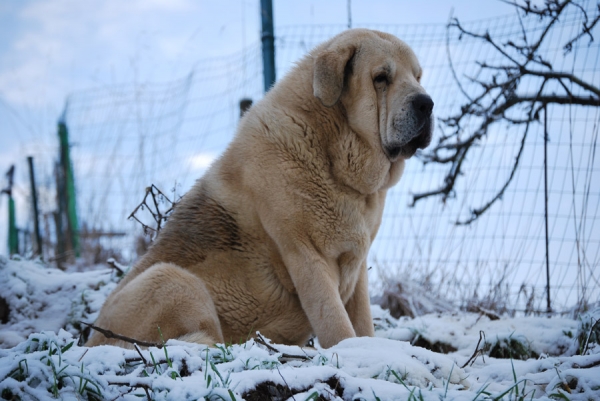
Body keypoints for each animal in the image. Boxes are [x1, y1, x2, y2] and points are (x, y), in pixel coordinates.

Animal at [86, 28, 434, 348]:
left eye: (418, 76)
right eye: (381, 78)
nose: (426, 103)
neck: (332, 152)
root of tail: (91, 342)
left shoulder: (356, 267)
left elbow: (362, 323)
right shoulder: (306, 256)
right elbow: (336, 325)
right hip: (173, 279)